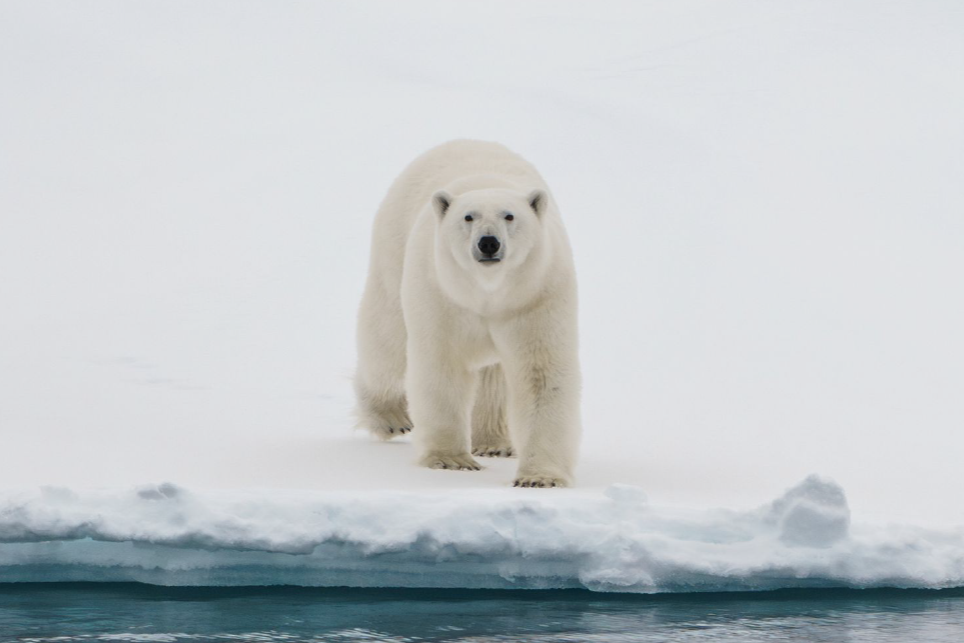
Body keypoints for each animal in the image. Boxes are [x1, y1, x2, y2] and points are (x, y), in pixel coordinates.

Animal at [354, 140, 581, 488]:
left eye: (510, 216)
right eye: (468, 217)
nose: (488, 242)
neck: (487, 293)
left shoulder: (535, 297)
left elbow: (539, 374)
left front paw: (540, 478)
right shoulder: (441, 296)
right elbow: (442, 365)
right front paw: (451, 460)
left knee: (493, 378)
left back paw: (493, 441)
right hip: (394, 246)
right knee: (387, 343)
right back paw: (389, 417)